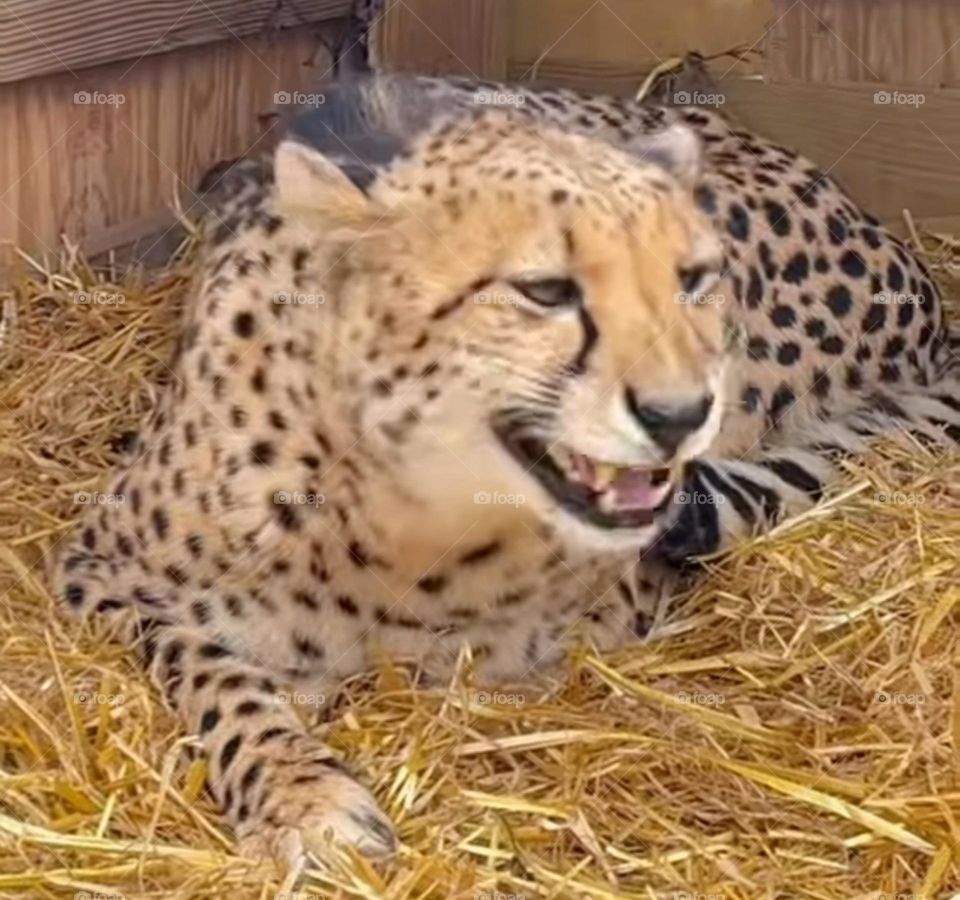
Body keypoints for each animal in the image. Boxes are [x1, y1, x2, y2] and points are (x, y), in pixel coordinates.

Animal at [52, 75, 960, 865]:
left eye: (689, 279)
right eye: (544, 290)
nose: (677, 412)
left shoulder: (608, 608)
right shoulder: (94, 571)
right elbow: (205, 664)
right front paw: (299, 795)